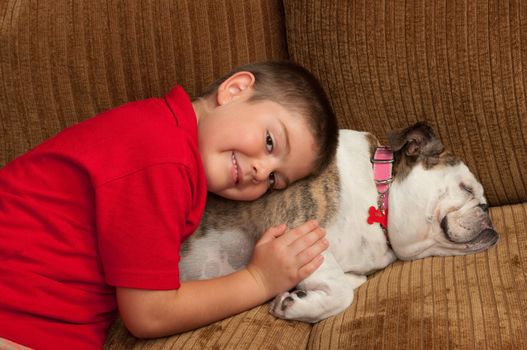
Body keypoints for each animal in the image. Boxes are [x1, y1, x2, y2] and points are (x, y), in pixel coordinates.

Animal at [178, 122, 500, 322]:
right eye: (466, 189)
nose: (487, 210)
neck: (377, 193)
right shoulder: (297, 231)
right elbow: (342, 293)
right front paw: (292, 305)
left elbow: (349, 281)